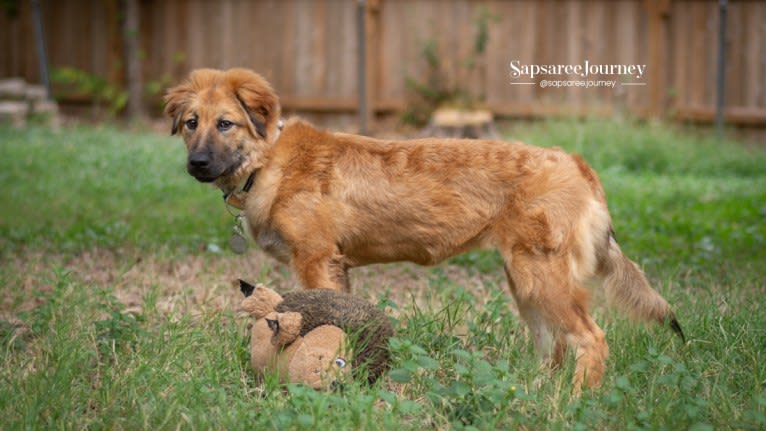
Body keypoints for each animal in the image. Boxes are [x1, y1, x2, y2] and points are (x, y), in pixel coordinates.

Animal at [166, 68, 684, 394]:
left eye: (226, 124)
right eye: (191, 124)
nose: (196, 164)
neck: (269, 160)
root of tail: (575, 162)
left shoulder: (315, 262)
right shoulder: (338, 268)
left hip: (543, 280)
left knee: (591, 341)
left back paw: (575, 402)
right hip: (527, 284)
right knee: (552, 348)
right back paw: (535, 394)